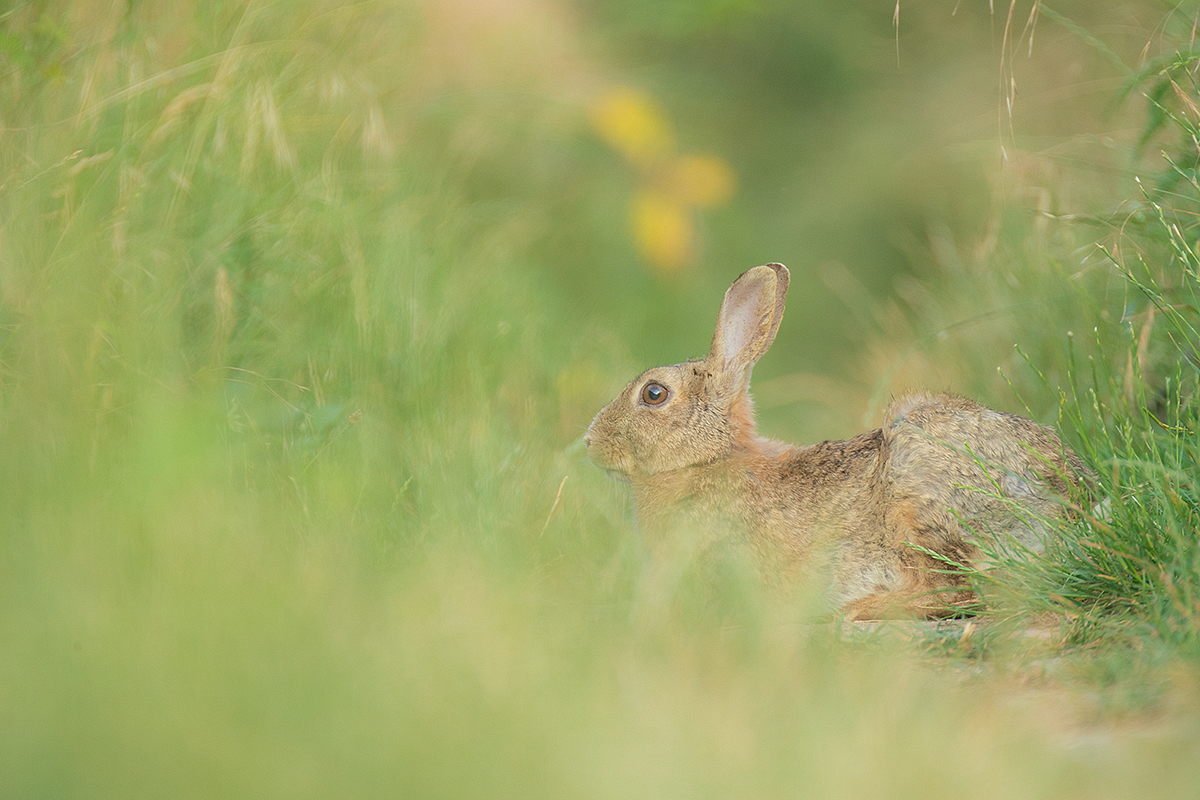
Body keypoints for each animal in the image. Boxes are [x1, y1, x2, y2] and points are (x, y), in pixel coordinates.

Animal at [585, 262, 1094, 618]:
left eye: (653, 394)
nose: (590, 443)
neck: (706, 462)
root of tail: (1074, 501)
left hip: (917, 493)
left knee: (957, 591)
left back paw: (859, 608)